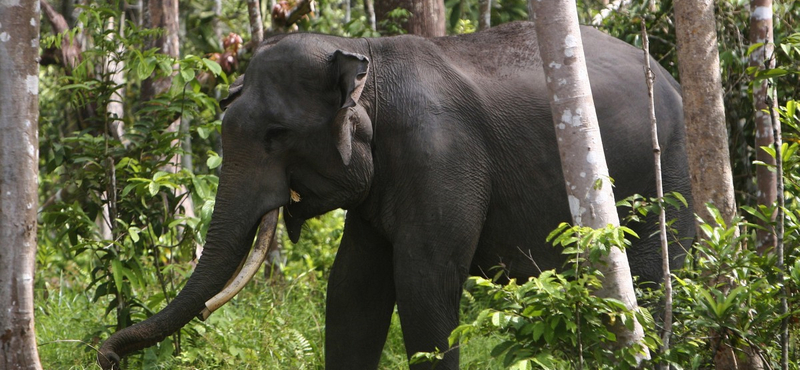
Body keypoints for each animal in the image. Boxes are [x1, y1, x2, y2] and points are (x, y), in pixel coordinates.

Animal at [97, 21, 692, 370]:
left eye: (276, 134)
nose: (106, 357)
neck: (365, 57)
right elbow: (353, 287)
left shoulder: (441, 152)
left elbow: (424, 281)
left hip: (667, 179)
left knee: (653, 282)